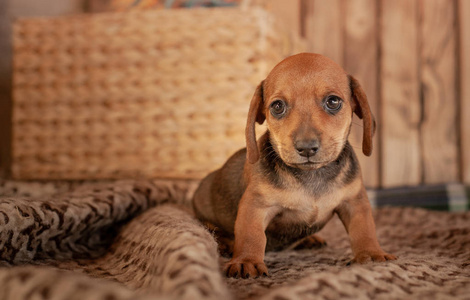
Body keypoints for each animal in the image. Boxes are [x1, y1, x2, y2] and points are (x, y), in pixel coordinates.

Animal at [193, 52, 394, 278]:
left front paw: (371, 254)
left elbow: (364, 229)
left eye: (333, 101)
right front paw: (246, 260)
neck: (312, 177)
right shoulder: (255, 206)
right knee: (213, 229)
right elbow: (251, 236)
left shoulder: (354, 202)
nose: (306, 148)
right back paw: (225, 243)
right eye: (277, 106)